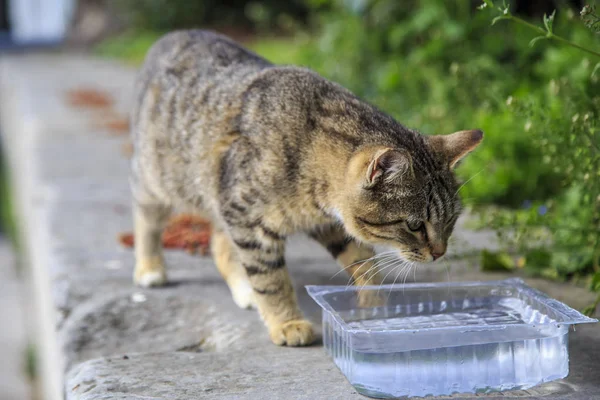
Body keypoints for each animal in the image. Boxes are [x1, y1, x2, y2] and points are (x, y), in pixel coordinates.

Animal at [130, 28, 482, 346]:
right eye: (414, 225)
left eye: (450, 222)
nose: (439, 253)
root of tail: (175, 33)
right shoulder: (249, 221)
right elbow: (271, 279)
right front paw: (286, 322)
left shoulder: (326, 222)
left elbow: (364, 261)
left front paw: (373, 308)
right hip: (158, 180)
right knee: (147, 220)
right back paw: (150, 268)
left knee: (220, 243)